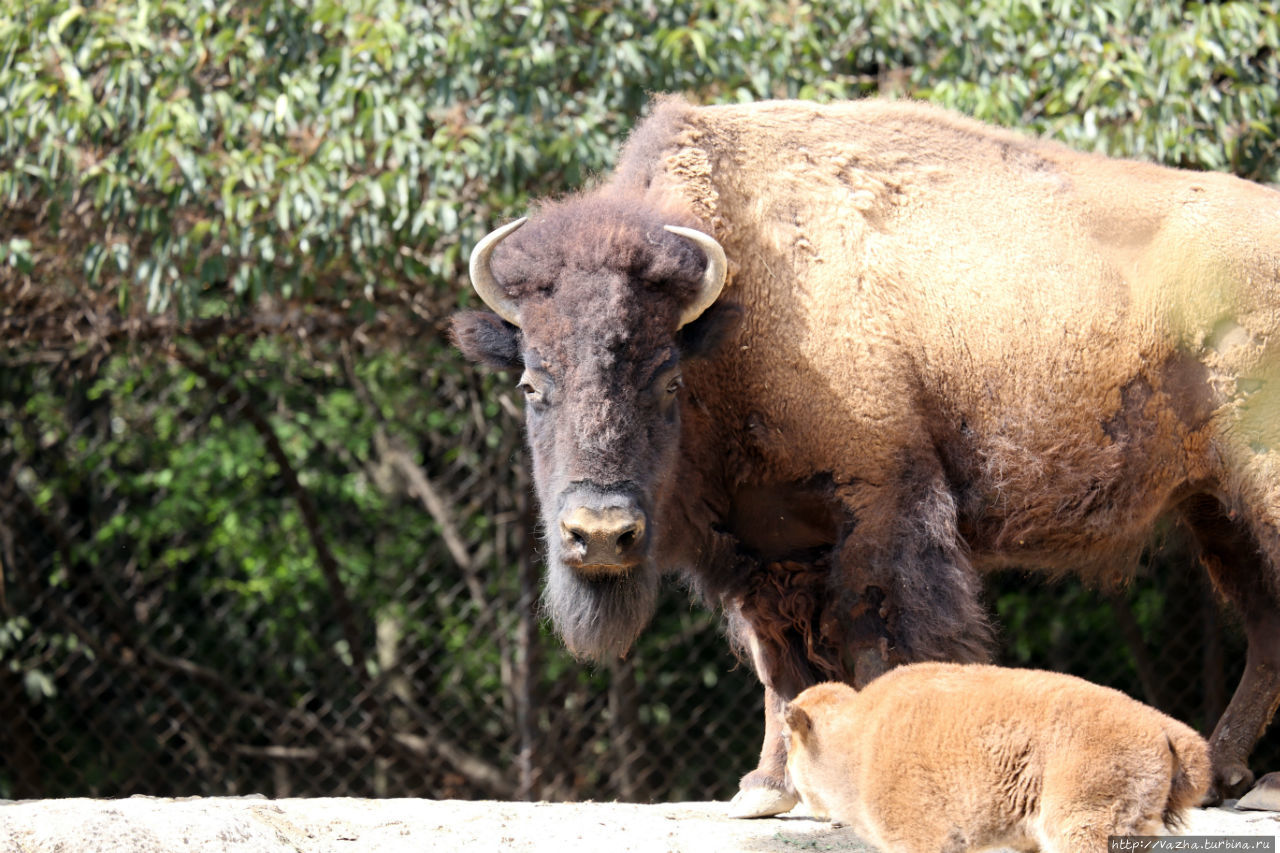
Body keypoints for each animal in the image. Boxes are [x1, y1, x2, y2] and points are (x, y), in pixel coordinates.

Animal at [453, 94, 1280, 809]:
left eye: (667, 381)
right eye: (531, 383)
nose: (600, 533)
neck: (743, 304)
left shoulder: (884, 507)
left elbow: (884, 642)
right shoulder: (766, 546)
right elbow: (780, 666)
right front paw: (765, 788)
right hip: (1216, 507)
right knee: (1265, 619)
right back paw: (1224, 773)